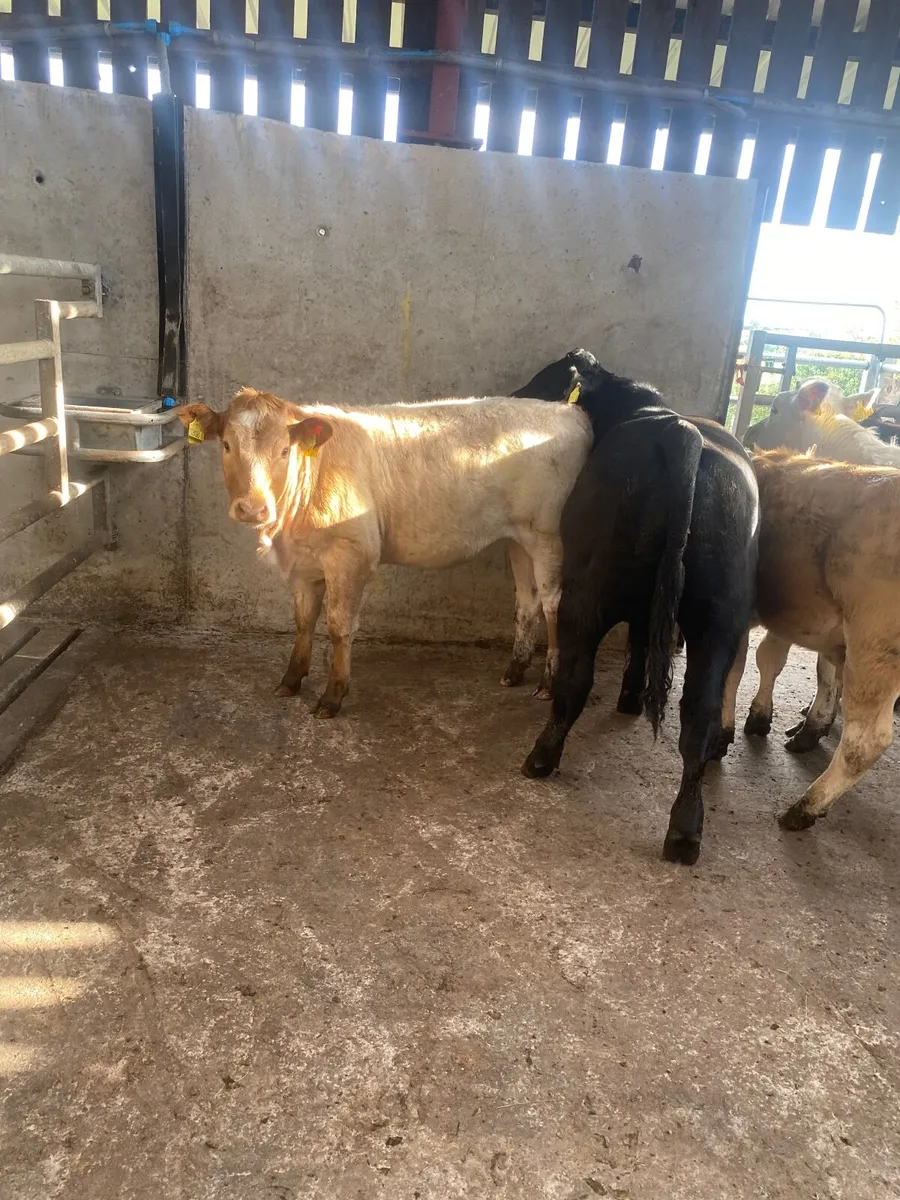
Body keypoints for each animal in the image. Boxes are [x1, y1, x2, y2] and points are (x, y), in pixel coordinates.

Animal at [177, 389, 592, 717]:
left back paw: (549, 682)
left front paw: (333, 696)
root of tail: (567, 411)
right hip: (517, 536)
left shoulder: (351, 555)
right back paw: (515, 670)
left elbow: (339, 625)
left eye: (283, 450)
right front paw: (291, 680)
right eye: (227, 445)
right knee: (527, 601)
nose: (253, 509)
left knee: (553, 601)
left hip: (547, 533)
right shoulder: (303, 564)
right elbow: (303, 621)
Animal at [521, 361, 759, 866]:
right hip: (719, 621)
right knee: (699, 713)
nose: (516, 394)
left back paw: (541, 757)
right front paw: (631, 696)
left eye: (548, 373)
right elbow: (643, 643)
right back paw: (685, 830)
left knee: (574, 682)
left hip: (586, 595)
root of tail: (680, 431)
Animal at [752, 448, 900, 832]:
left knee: (864, 743)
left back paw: (804, 807)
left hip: (875, 651)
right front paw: (808, 725)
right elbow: (812, 671)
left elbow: (763, 658)